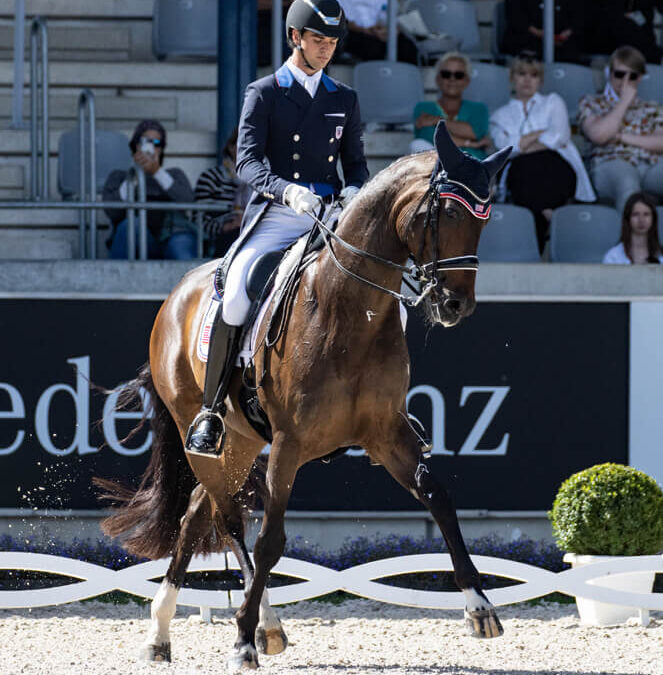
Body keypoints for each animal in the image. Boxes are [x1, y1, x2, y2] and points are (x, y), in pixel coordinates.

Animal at [98, 125, 510, 672]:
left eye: (486, 219)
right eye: (446, 213)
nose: (456, 305)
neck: (349, 310)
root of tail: (177, 295)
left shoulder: (387, 433)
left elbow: (438, 497)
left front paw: (479, 607)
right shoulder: (290, 444)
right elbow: (271, 540)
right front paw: (243, 638)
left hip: (241, 443)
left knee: (194, 513)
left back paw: (168, 632)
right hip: (202, 432)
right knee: (228, 518)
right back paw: (256, 626)